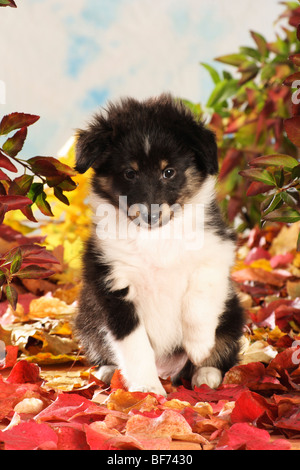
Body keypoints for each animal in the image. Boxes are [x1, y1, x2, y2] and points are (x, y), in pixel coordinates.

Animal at [74, 93, 245, 394]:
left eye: (169, 172)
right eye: (129, 173)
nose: (151, 215)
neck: (155, 239)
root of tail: (170, 371)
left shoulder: (217, 249)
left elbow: (200, 294)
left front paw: (199, 345)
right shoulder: (113, 285)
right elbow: (134, 345)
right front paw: (146, 391)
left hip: (233, 311)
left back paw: (206, 373)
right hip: (87, 318)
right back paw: (110, 371)